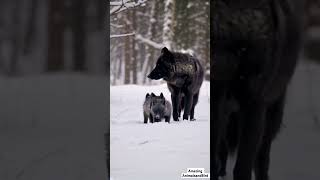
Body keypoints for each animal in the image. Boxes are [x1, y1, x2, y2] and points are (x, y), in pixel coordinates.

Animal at [212, 0, 304, 180]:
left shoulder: (255, 106)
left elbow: (243, 167)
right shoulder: (217, 99)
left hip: (272, 118)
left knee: (262, 158)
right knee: (223, 148)